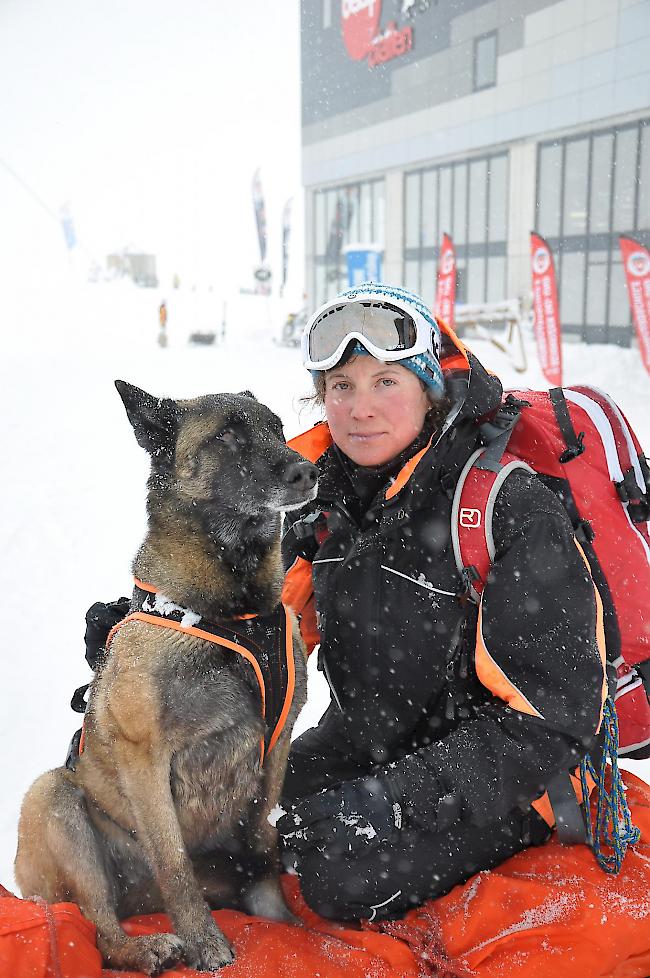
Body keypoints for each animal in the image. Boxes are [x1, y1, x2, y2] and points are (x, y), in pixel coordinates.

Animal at [13, 382, 318, 976]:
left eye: (275, 427)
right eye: (227, 435)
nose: (307, 471)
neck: (232, 614)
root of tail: (140, 904)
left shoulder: (276, 749)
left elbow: (262, 845)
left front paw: (284, 924)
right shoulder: (145, 758)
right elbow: (174, 863)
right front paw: (203, 942)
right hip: (54, 800)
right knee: (95, 927)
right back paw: (146, 945)